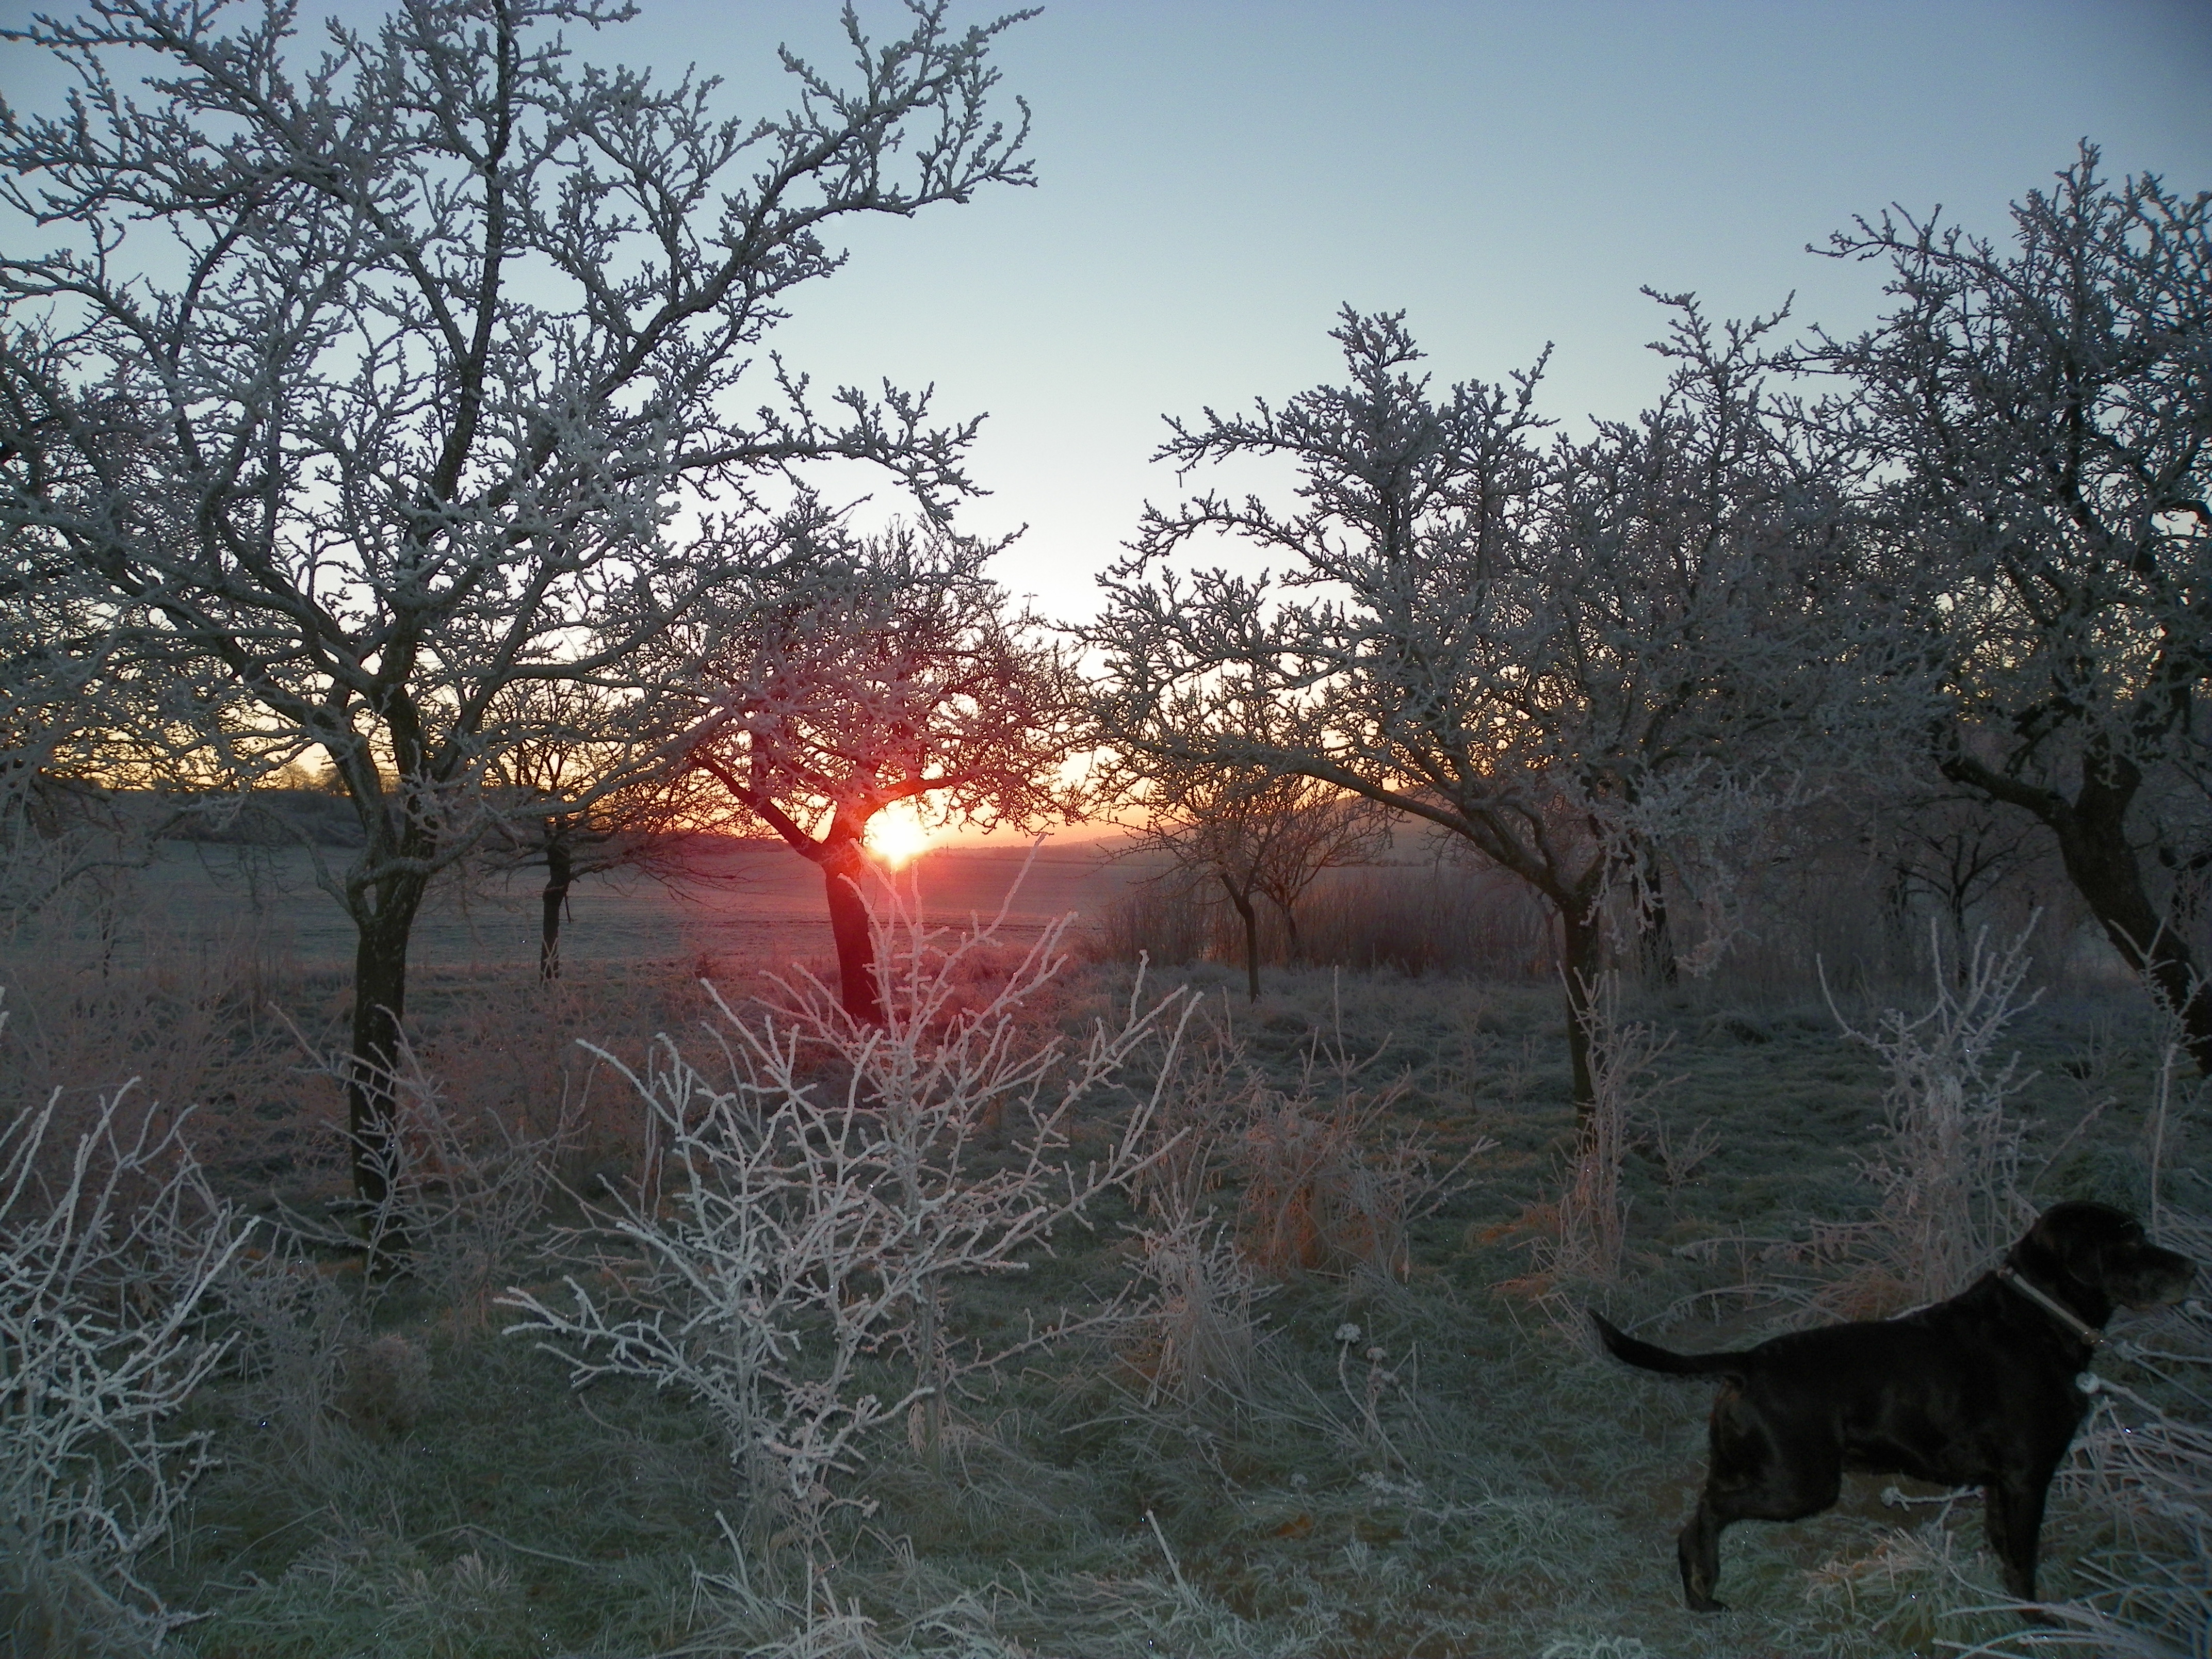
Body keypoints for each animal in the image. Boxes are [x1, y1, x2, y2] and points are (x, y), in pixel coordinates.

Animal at [1592, 1200, 2195, 1613]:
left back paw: (1699, 1594)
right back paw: (1706, 1589)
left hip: (1752, 1467)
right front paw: (2036, 1623)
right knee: (1708, 1514)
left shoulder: (2001, 1484)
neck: (2038, 1321)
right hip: (1800, 1484)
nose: (2192, 1268)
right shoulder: (2028, 1477)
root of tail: (1747, 1362)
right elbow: (2024, 1561)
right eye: (2131, 1240)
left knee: (1698, 1516)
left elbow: (2002, 1548)